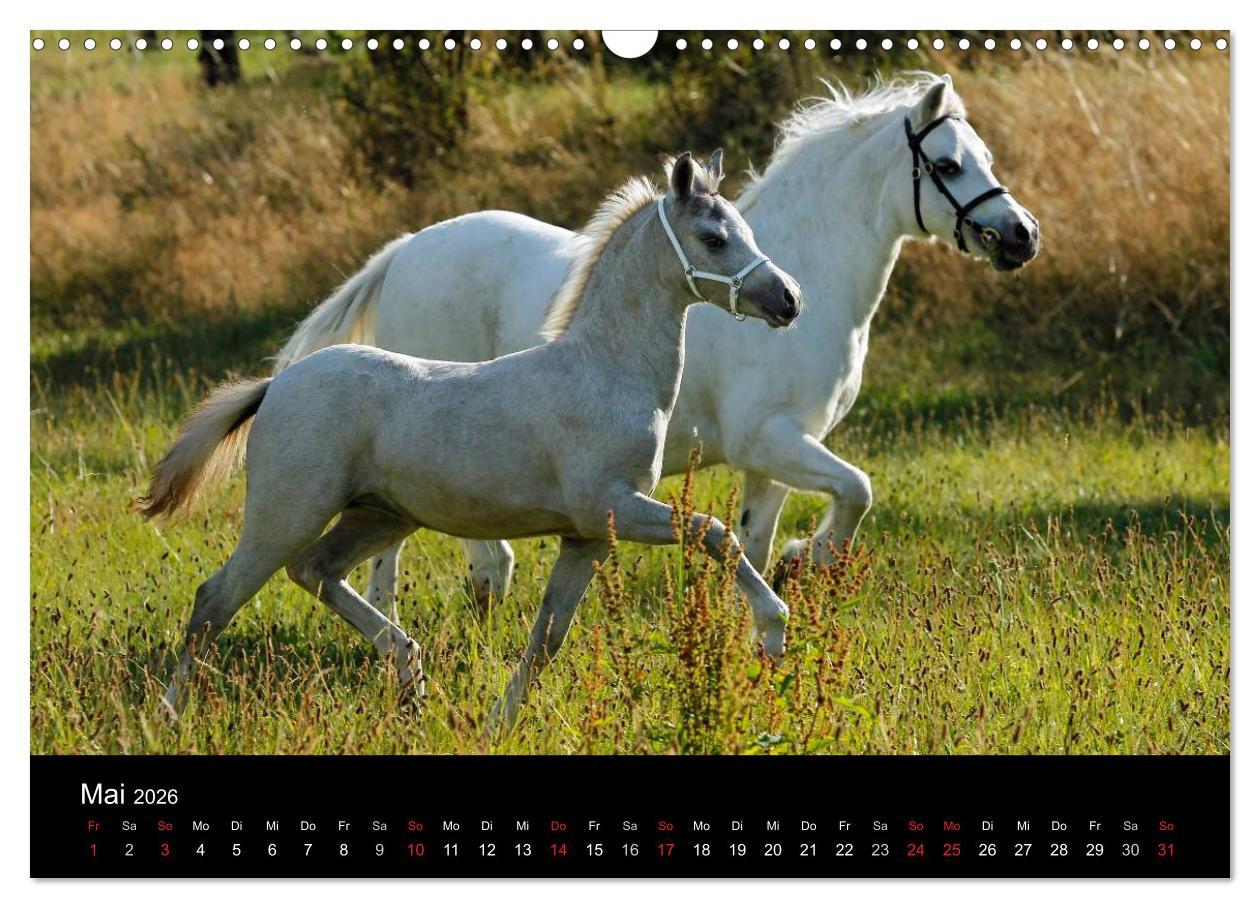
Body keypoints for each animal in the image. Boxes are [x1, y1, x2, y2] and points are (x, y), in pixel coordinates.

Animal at [141, 152, 803, 731]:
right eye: (714, 238)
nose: (789, 298)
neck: (605, 371)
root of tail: (277, 384)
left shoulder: (585, 538)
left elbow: (546, 640)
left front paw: (497, 724)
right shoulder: (611, 507)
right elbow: (714, 533)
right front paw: (773, 631)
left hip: (379, 516)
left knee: (315, 571)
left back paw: (409, 667)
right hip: (286, 514)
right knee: (215, 600)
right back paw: (171, 716)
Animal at [274, 73, 1041, 621]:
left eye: (985, 158)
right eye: (948, 165)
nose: (1022, 236)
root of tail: (405, 251)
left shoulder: (772, 458)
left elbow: (755, 538)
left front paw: (762, 606)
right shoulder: (772, 438)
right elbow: (857, 490)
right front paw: (810, 560)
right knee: (430, 554)